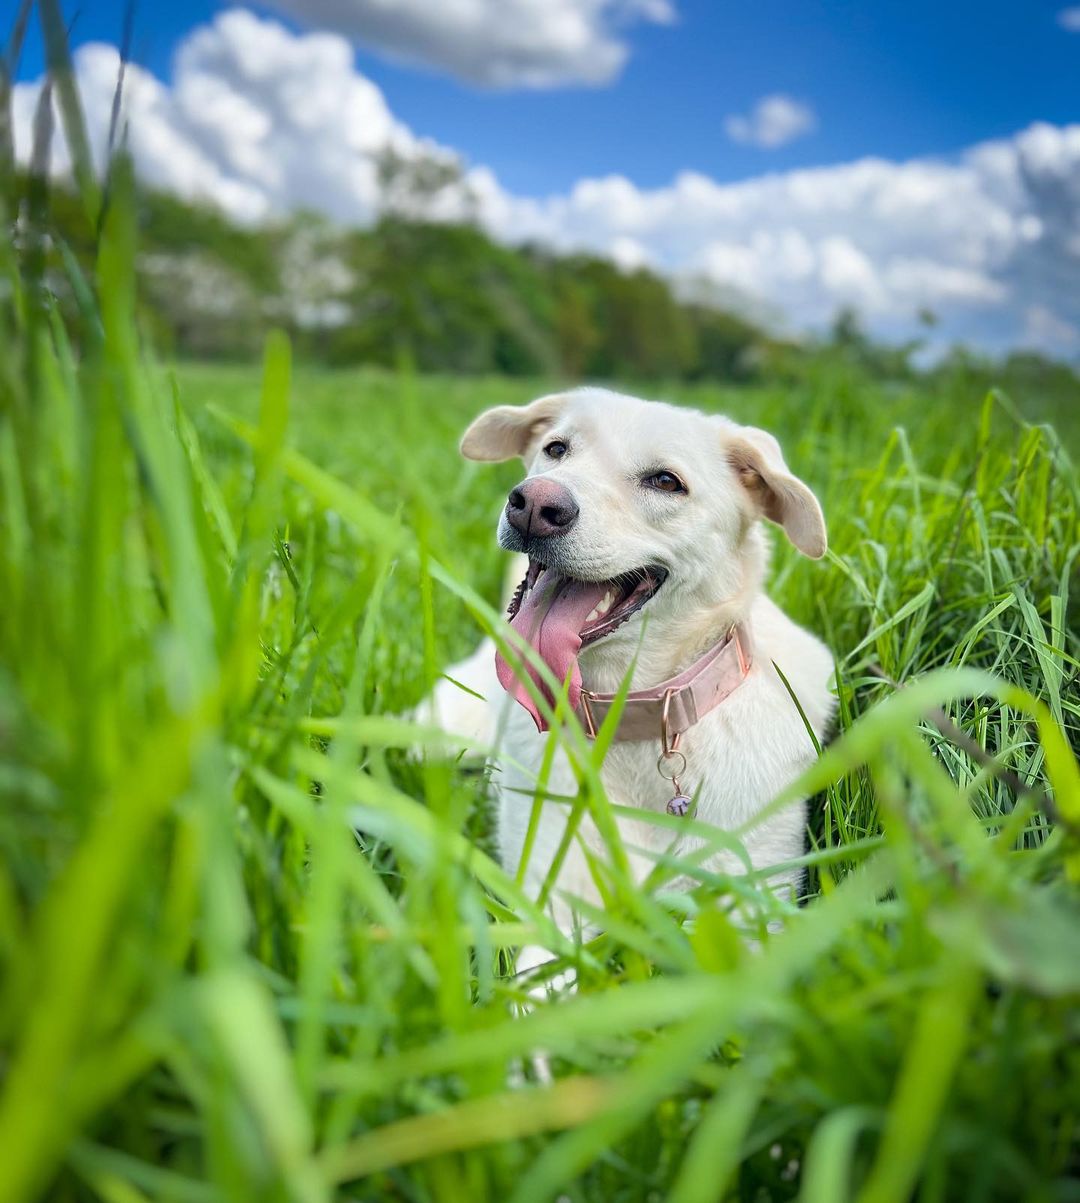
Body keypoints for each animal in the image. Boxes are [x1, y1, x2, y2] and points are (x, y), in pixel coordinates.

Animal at [425, 389, 827, 952]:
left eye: (666, 481)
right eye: (556, 449)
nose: (534, 506)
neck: (628, 716)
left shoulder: (753, 909)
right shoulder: (553, 905)